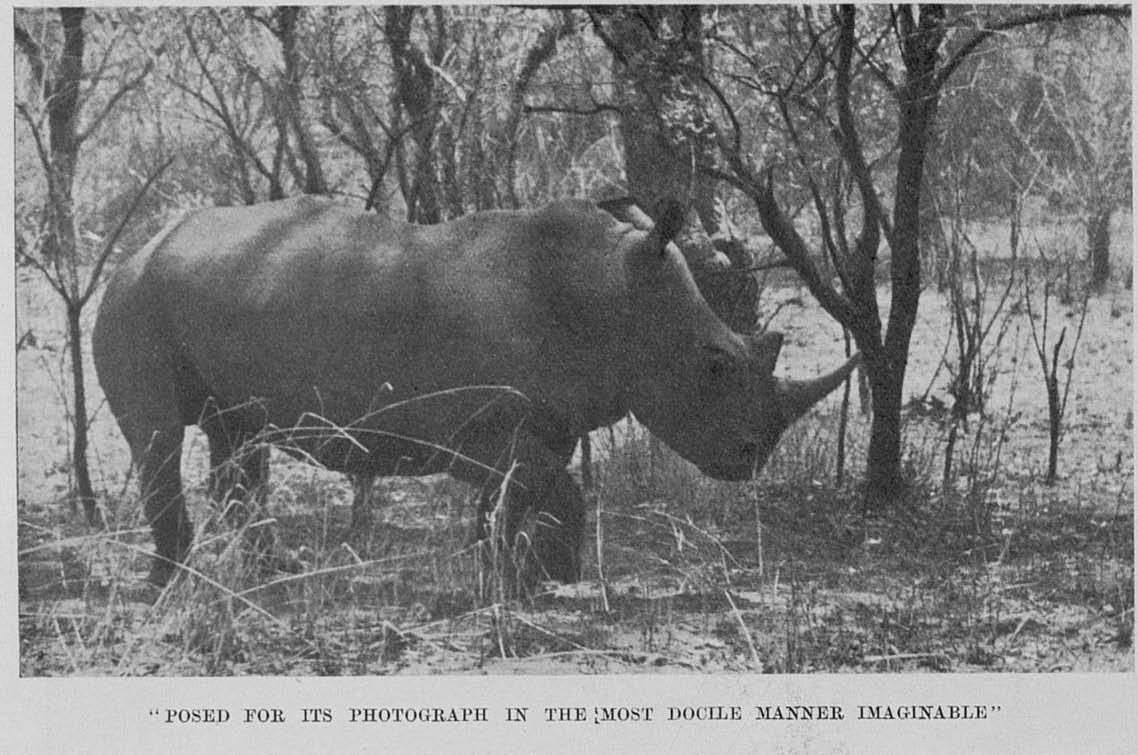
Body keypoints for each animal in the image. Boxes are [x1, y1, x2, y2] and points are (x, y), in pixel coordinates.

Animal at [93, 196, 859, 586]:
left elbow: (527, 498)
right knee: (158, 437)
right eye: (715, 366)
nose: (753, 458)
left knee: (237, 435)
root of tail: (139, 245)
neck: (611, 295)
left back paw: (269, 575)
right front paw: (540, 583)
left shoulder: (547, 418)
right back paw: (171, 586)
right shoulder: (476, 430)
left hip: (200, 296)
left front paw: (532, 577)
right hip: (134, 299)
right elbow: (555, 491)